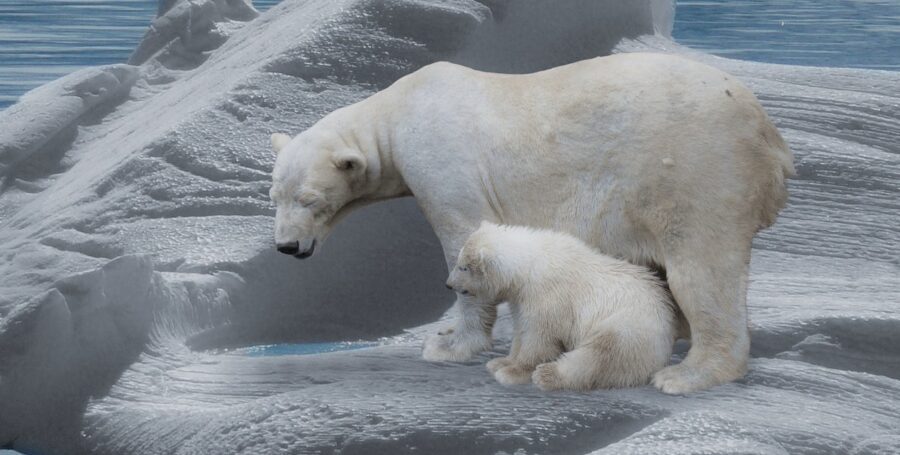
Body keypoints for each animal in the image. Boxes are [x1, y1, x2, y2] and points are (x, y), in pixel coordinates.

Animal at [446, 221, 677, 390]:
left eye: (463, 267)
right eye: (459, 261)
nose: (448, 284)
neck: (530, 266)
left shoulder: (548, 297)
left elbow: (539, 338)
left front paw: (512, 372)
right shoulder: (522, 299)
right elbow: (521, 330)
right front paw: (500, 362)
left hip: (628, 326)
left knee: (598, 355)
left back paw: (547, 374)